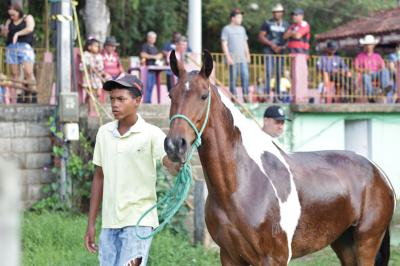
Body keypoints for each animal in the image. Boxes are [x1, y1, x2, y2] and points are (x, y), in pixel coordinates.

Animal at [164, 50, 396, 266]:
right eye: (171, 95)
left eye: (203, 95)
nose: (175, 144)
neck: (241, 185)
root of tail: (378, 172)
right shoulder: (229, 256)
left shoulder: (274, 258)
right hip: (343, 243)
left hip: (366, 242)